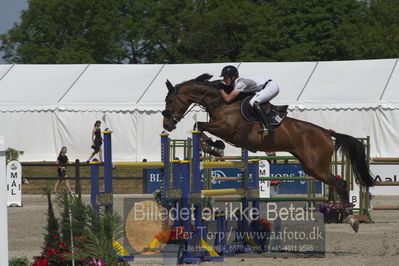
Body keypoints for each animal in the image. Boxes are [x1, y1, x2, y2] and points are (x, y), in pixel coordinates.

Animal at [162, 74, 376, 232]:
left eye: (170, 100)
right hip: (311, 166)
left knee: (340, 184)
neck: (222, 102)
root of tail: (326, 133)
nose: (167, 125)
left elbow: (199, 125)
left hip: (315, 166)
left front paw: (212, 146)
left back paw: (352, 219)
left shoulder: (227, 128)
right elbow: (200, 127)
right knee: (337, 183)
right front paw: (214, 146)